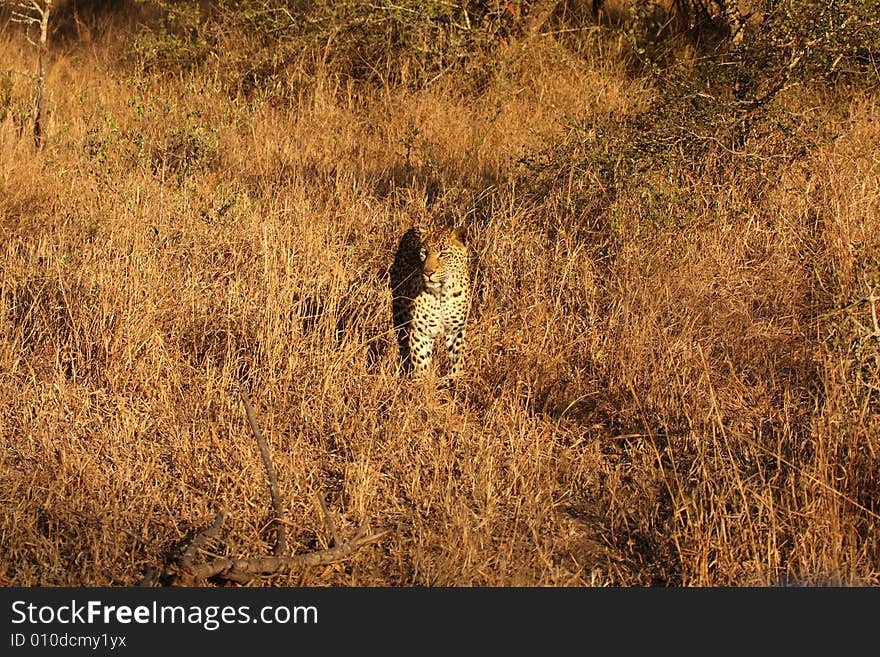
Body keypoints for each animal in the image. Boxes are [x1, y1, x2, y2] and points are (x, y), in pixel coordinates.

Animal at [390, 226, 470, 376]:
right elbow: (420, 362)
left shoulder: (456, 330)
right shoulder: (420, 332)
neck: (442, 294)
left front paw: (455, 379)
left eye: (443, 254)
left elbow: (457, 362)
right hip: (400, 318)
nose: (428, 272)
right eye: (424, 253)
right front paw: (423, 380)